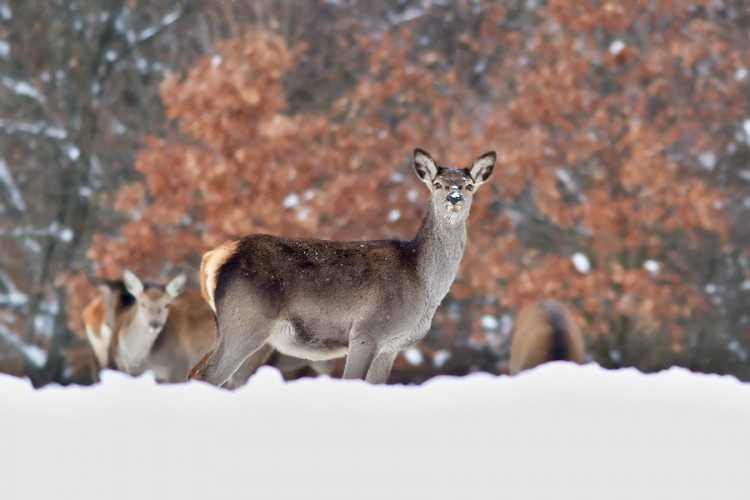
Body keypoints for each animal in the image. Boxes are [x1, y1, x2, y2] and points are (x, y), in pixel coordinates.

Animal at [188, 148, 496, 386]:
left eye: (469, 185)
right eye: (438, 183)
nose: (454, 198)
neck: (420, 280)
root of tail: (214, 258)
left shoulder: (391, 346)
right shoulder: (367, 332)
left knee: (198, 371)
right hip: (246, 320)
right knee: (207, 375)